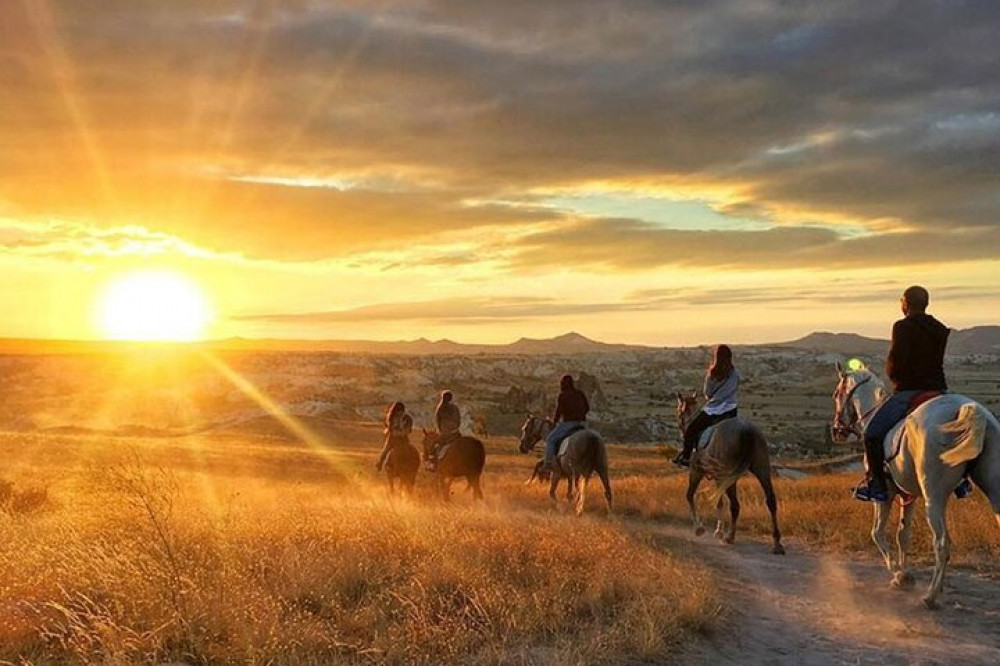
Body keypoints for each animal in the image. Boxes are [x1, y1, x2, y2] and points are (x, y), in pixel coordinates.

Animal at [676, 392, 784, 552]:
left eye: (679, 411)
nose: (681, 431)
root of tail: (747, 431)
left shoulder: (697, 471)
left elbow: (689, 495)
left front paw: (699, 528)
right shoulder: (717, 477)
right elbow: (719, 501)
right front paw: (718, 531)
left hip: (726, 474)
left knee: (735, 505)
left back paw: (730, 537)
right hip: (761, 470)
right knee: (770, 500)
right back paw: (777, 543)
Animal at [828, 364, 1000, 608]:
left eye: (836, 394)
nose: (837, 431)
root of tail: (970, 409)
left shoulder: (886, 493)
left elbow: (877, 532)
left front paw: (898, 573)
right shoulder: (908, 495)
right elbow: (903, 535)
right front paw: (904, 575)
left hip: (934, 497)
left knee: (941, 544)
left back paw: (930, 596)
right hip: (993, 490)